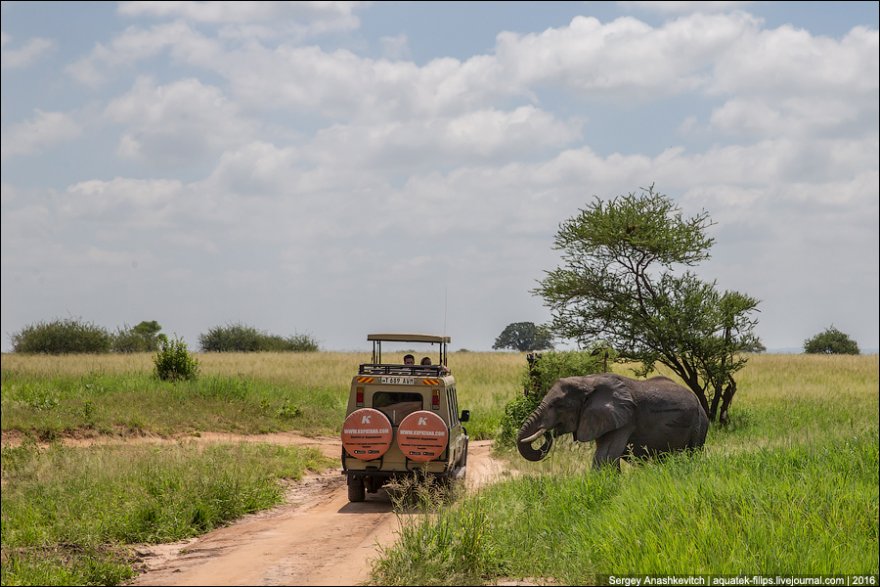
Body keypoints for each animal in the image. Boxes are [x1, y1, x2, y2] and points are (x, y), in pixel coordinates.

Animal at [516, 376, 708, 468]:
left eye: (559, 405)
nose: (548, 433)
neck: (588, 380)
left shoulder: (625, 419)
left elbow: (605, 457)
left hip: (699, 423)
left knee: (693, 452)